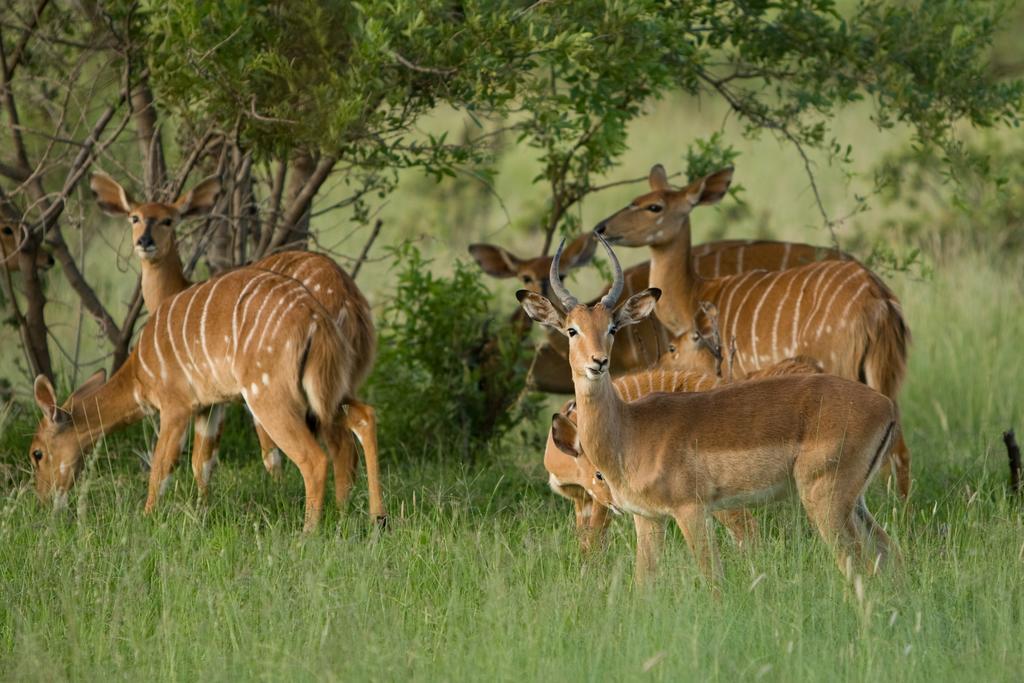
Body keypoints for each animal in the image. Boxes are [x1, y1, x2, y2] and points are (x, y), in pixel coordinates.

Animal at [92, 174, 376, 499]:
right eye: (134, 217)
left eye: (168, 220)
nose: (145, 242)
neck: (177, 292)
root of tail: (348, 300)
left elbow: (258, 452)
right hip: (339, 380)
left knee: (336, 441)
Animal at [593, 165, 913, 497]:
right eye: (635, 199)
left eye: (654, 206)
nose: (602, 227)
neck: (696, 293)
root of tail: (878, 298)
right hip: (885, 373)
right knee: (900, 448)